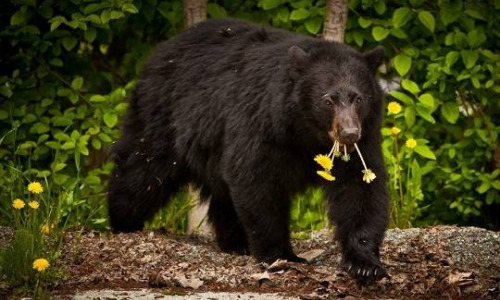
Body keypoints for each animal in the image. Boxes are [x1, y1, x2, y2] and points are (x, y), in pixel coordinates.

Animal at [108, 19, 390, 284]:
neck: (305, 132)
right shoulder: (262, 123)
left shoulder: (363, 140)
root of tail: (162, 49)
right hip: (165, 115)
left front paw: (364, 262)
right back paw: (123, 221)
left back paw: (235, 242)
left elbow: (359, 187)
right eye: (328, 100)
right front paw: (282, 254)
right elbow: (256, 179)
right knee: (143, 171)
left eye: (359, 98)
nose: (349, 133)